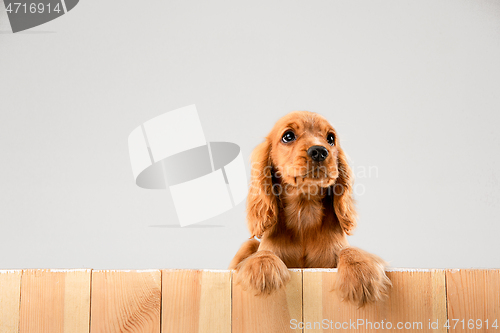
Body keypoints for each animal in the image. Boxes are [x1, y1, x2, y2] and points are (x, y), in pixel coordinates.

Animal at [229, 111, 390, 306]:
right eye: (288, 136)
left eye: (331, 138)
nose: (320, 151)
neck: (304, 209)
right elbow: (264, 252)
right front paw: (263, 270)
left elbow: (349, 250)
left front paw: (360, 273)